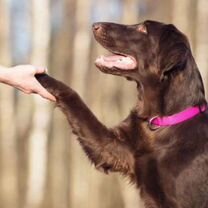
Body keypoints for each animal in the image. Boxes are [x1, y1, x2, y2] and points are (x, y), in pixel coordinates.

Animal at [35, 19, 208, 208]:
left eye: (143, 28)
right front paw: (37, 76)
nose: (95, 25)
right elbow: (74, 98)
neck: (160, 122)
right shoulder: (115, 148)